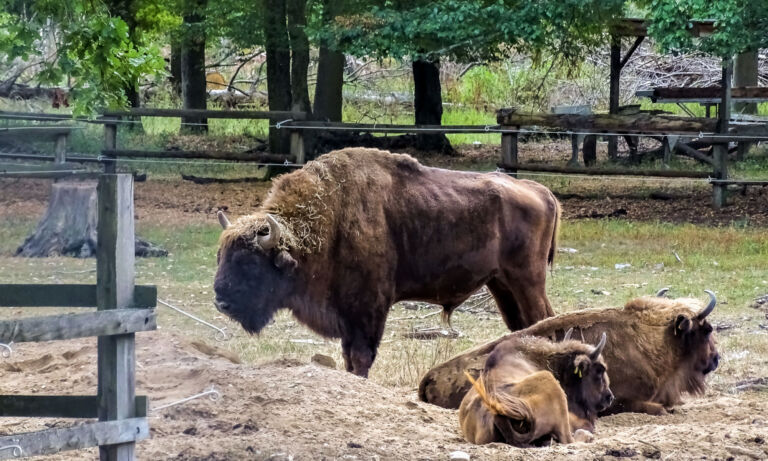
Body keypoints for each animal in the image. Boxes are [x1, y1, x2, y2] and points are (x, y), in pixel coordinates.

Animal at [213, 149, 560, 376]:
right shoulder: (348, 315)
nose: (221, 302)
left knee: (544, 320)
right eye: (221, 256)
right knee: (523, 326)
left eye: (249, 262)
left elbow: (361, 357)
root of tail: (543, 191)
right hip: (501, 283)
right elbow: (350, 356)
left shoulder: (368, 308)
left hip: (527, 279)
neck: (329, 218)